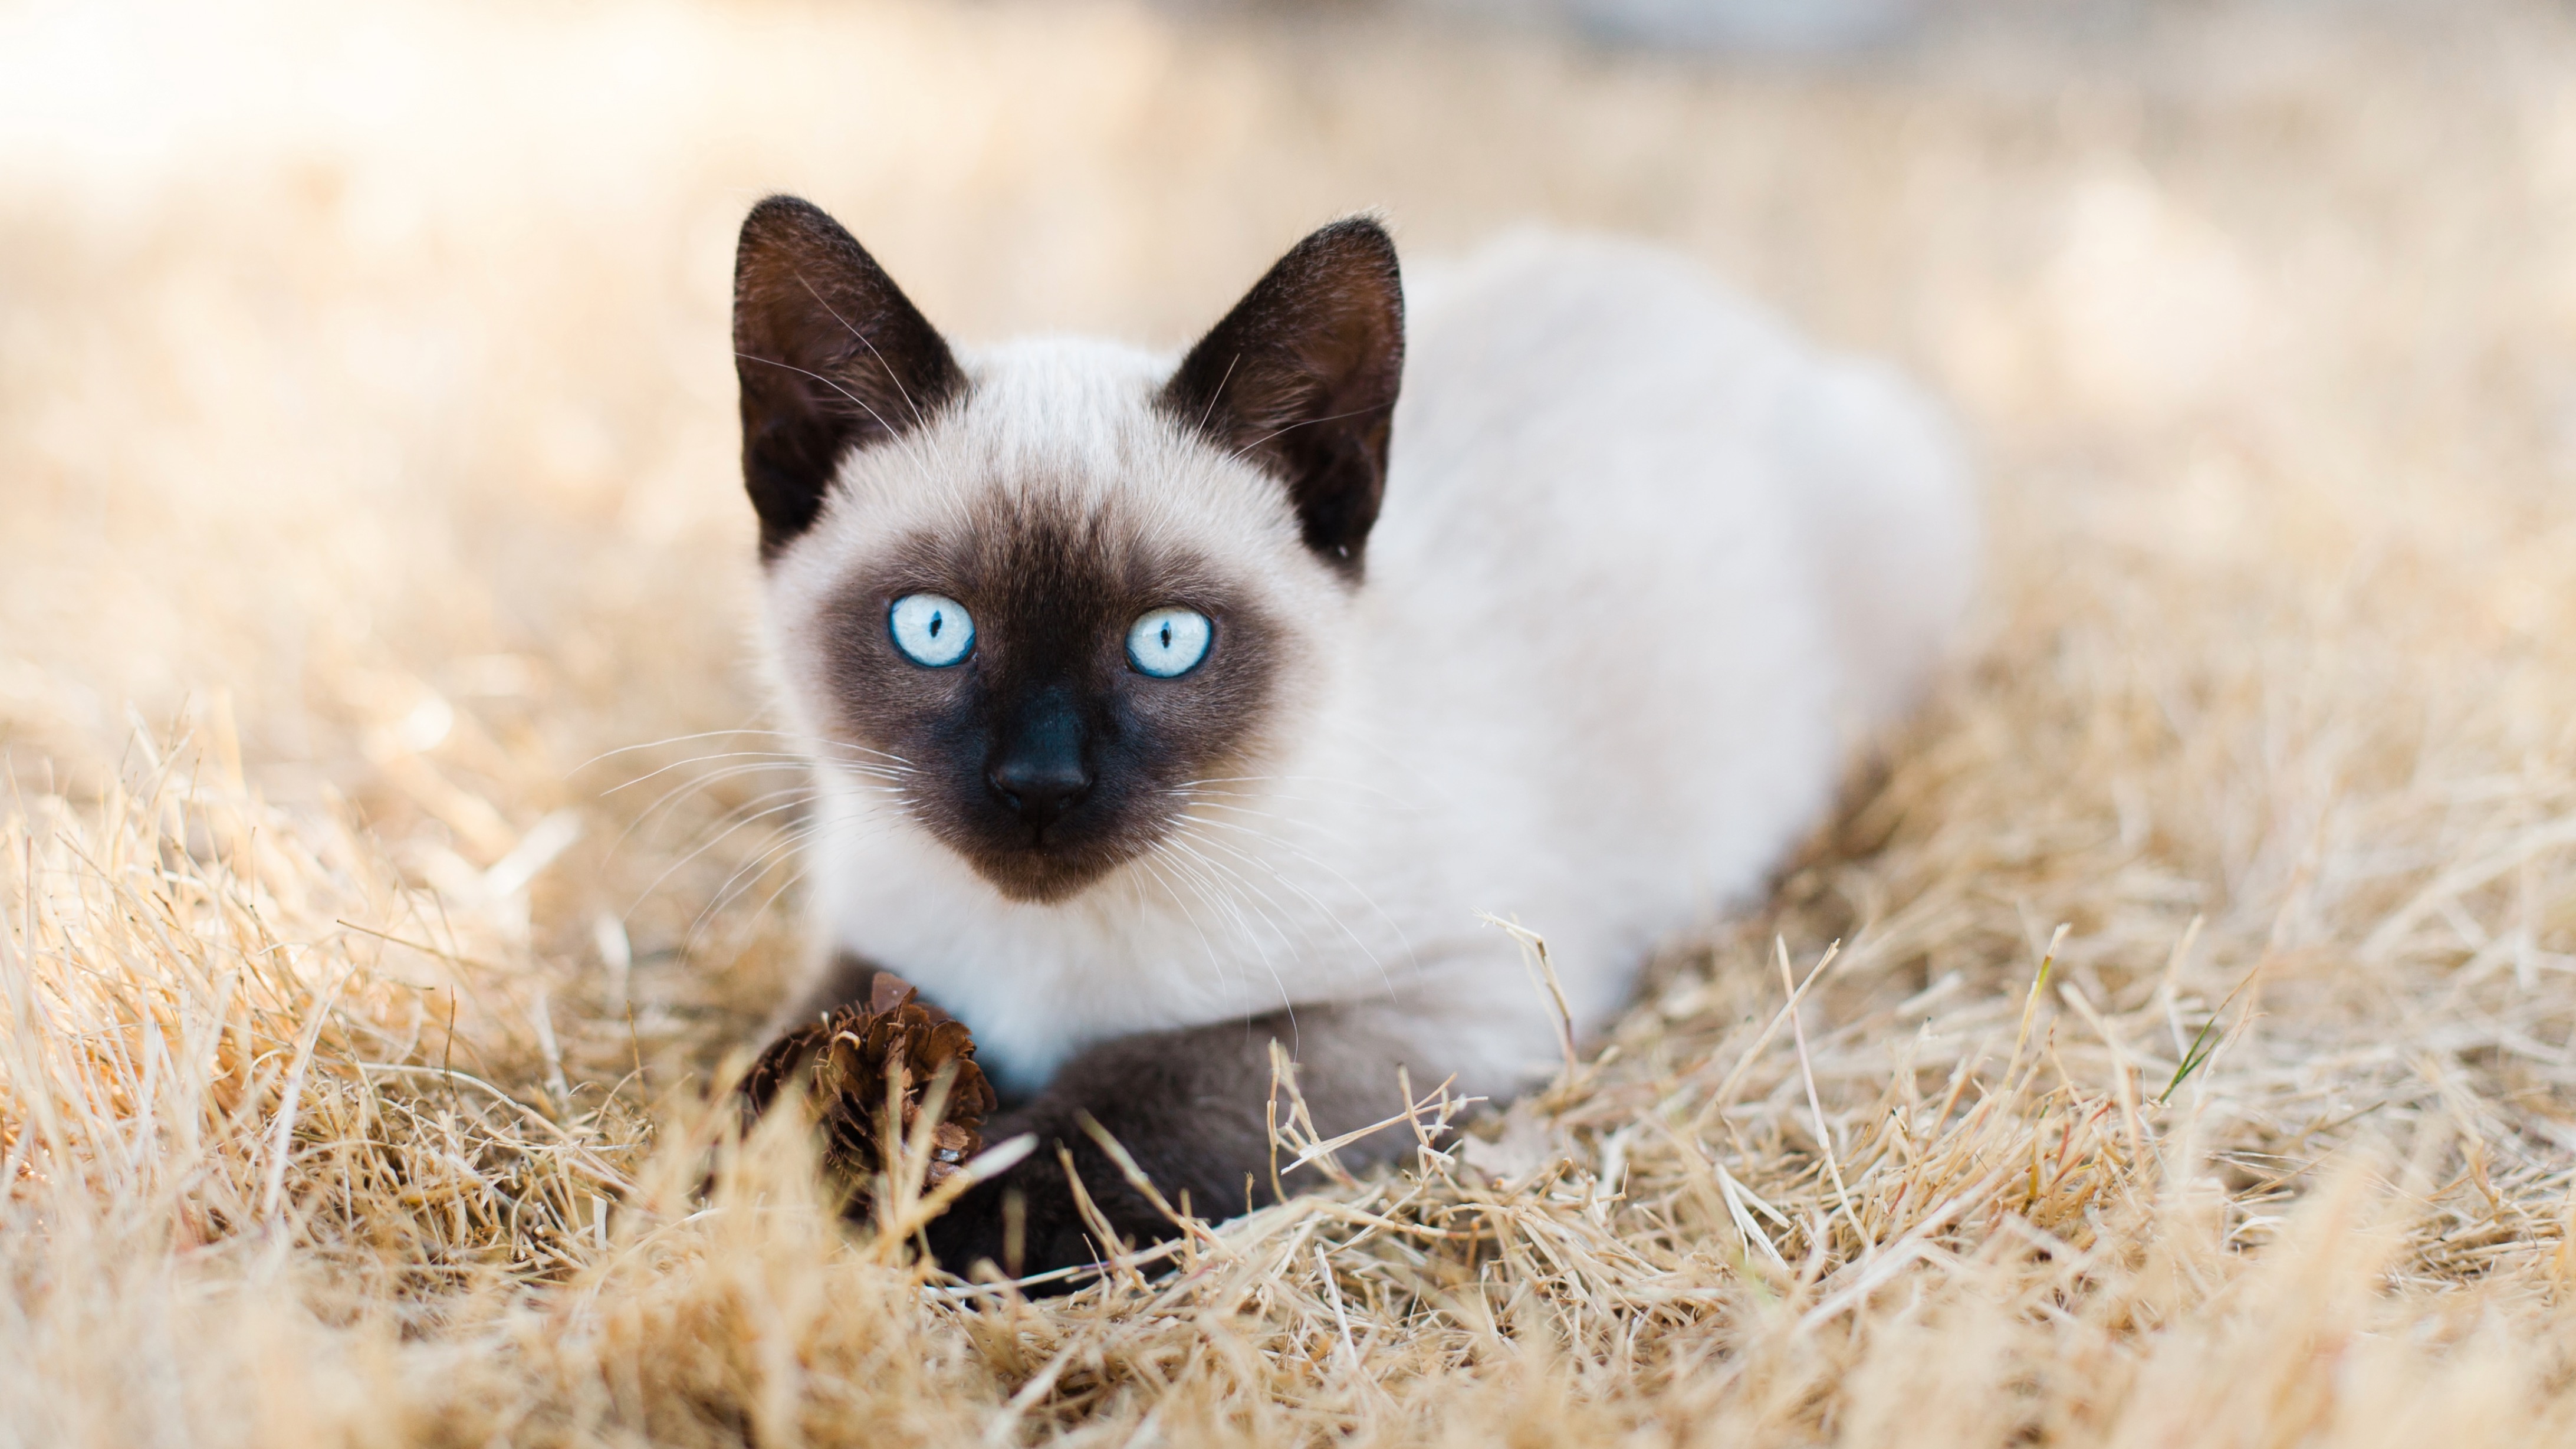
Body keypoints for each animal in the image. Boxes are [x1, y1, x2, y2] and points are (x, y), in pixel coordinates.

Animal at [726, 195, 1968, 1273]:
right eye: (934, 628)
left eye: (1167, 641)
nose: (1039, 784)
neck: (1035, 950)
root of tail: (1702, 295)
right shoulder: (874, 939)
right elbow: (782, 1063)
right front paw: (789, 1163)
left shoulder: (1453, 1004)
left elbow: (1145, 1095)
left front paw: (952, 1221)